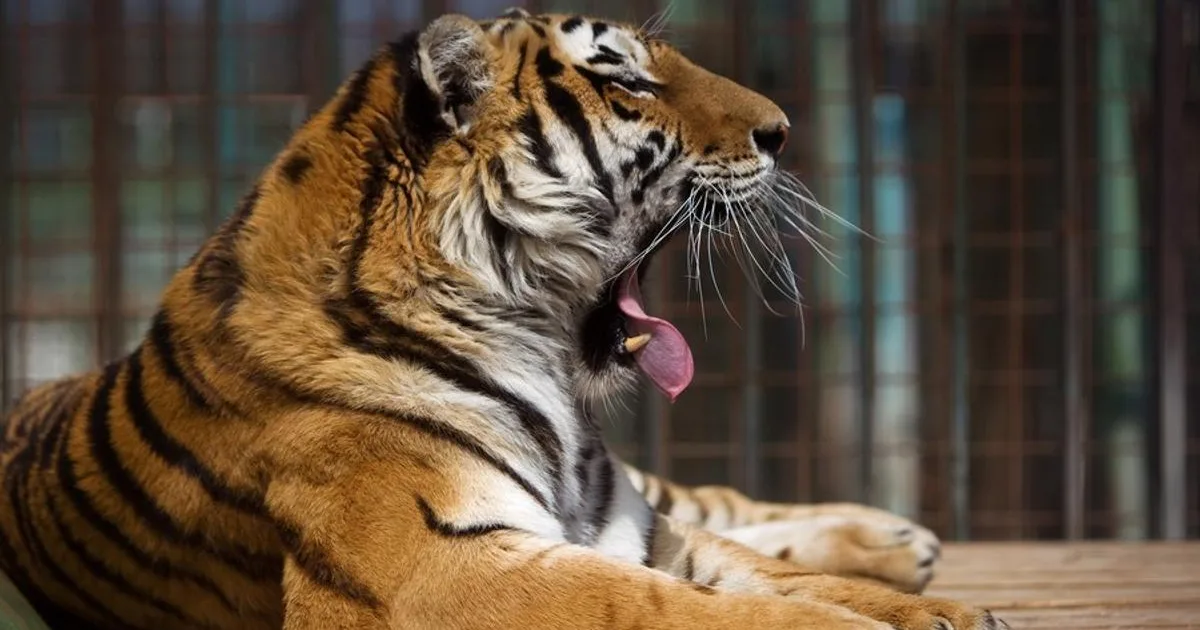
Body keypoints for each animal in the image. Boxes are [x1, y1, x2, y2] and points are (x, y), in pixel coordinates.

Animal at [0, 9, 1008, 630]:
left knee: (720, 499)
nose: (783, 129)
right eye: (628, 80)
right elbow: (675, 607)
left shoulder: (635, 528)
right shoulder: (441, 568)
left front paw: (945, 609)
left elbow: (778, 573)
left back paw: (895, 541)